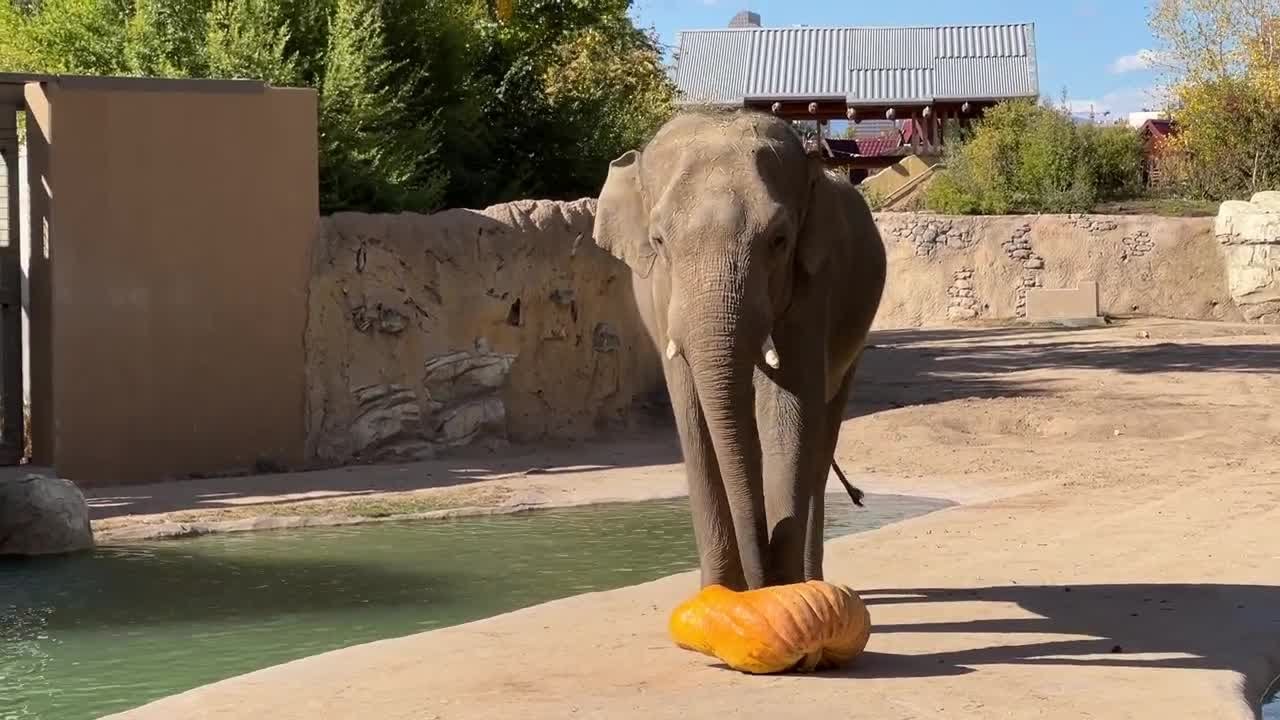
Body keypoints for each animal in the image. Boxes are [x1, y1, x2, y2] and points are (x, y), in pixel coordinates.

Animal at [592, 108, 887, 592]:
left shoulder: (814, 285)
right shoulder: (659, 299)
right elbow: (693, 414)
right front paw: (718, 591)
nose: (760, 577)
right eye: (658, 242)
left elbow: (787, 405)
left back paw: (812, 582)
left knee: (821, 438)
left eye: (780, 240)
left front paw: (782, 589)